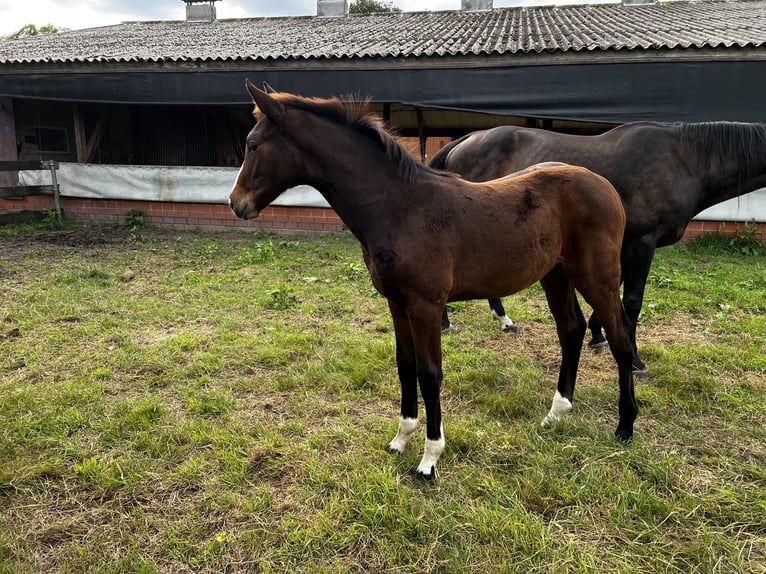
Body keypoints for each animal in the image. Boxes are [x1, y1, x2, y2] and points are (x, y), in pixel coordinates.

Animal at [231, 80, 640, 476]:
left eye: (252, 145)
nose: (237, 203)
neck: (399, 206)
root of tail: (607, 188)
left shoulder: (426, 306)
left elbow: (429, 373)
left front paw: (430, 458)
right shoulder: (397, 303)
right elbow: (405, 365)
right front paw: (400, 439)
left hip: (597, 276)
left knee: (620, 339)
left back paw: (625, 425)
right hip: (556, 274)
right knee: (571, 330)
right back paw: (556, 414)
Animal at [432, 122, 766, 376]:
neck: (683, 160)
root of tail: (466, 139)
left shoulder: (617, 246)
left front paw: (596, 335)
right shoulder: (641, 243)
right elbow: (632, 302)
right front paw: (635, 361)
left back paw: (504, 320)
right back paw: (447, 323)